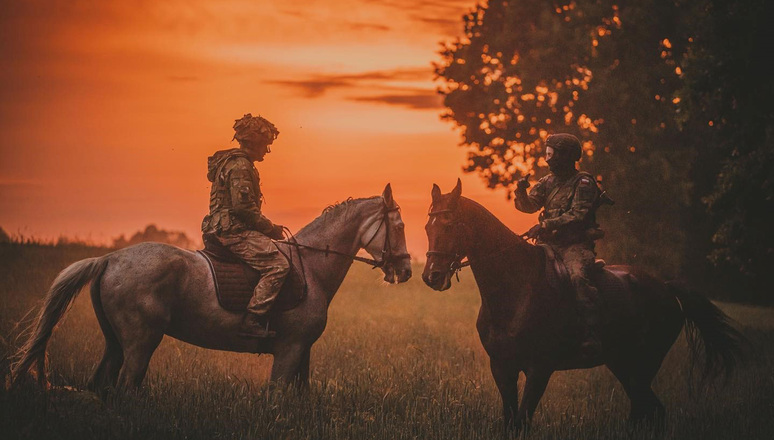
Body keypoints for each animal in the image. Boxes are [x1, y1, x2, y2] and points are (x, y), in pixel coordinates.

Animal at [10, 182, 412, 396]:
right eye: (400, 226)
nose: (407, 270)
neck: (310, 267)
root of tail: (109, 258)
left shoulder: (302, 351)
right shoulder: (289, 349)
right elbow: (277, 398)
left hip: (115, 343)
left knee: (104, 386)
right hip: (141, 342)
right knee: (125, 388)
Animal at [422, 179, 748, 430]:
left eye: (449, 225)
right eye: (428, 226)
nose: (431, 276)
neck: (516, 290)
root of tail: (666, 288)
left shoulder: (539, 369)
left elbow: (522, 423)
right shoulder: (502, 368)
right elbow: (510, 422)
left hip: (644, 364)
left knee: (649, 410)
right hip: (623, 364)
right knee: (647, 411)